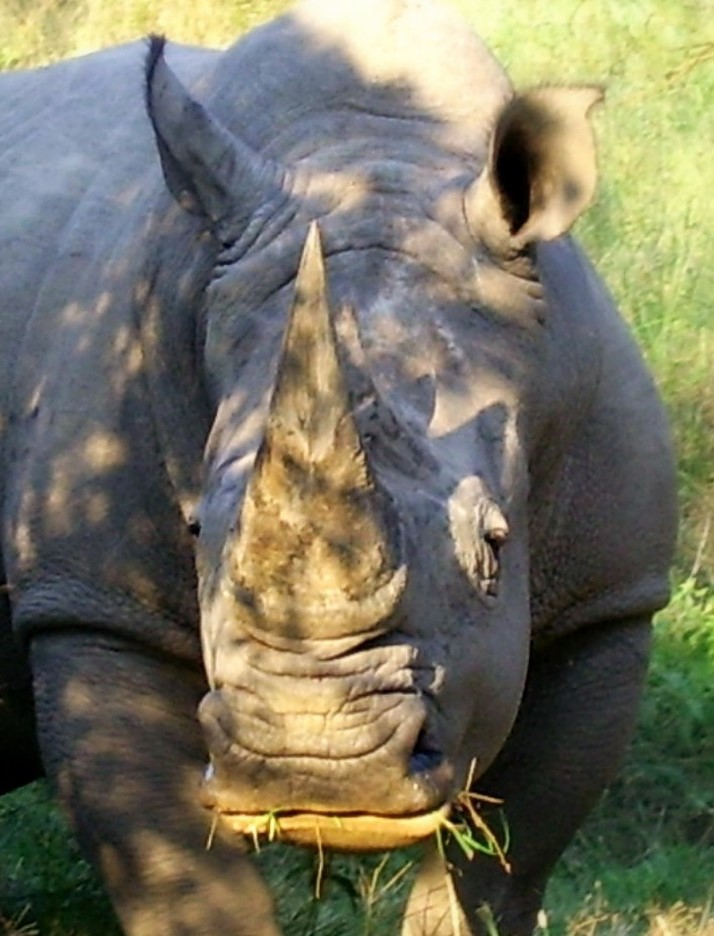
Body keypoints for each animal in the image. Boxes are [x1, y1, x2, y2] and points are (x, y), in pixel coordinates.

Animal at [0, 0, 677, 933]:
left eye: (495, 546)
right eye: (195, 531)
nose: (315, 764)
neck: (376, 155)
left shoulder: (607, 601)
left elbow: (499, 870)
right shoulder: (92, 603)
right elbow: (184, 881)